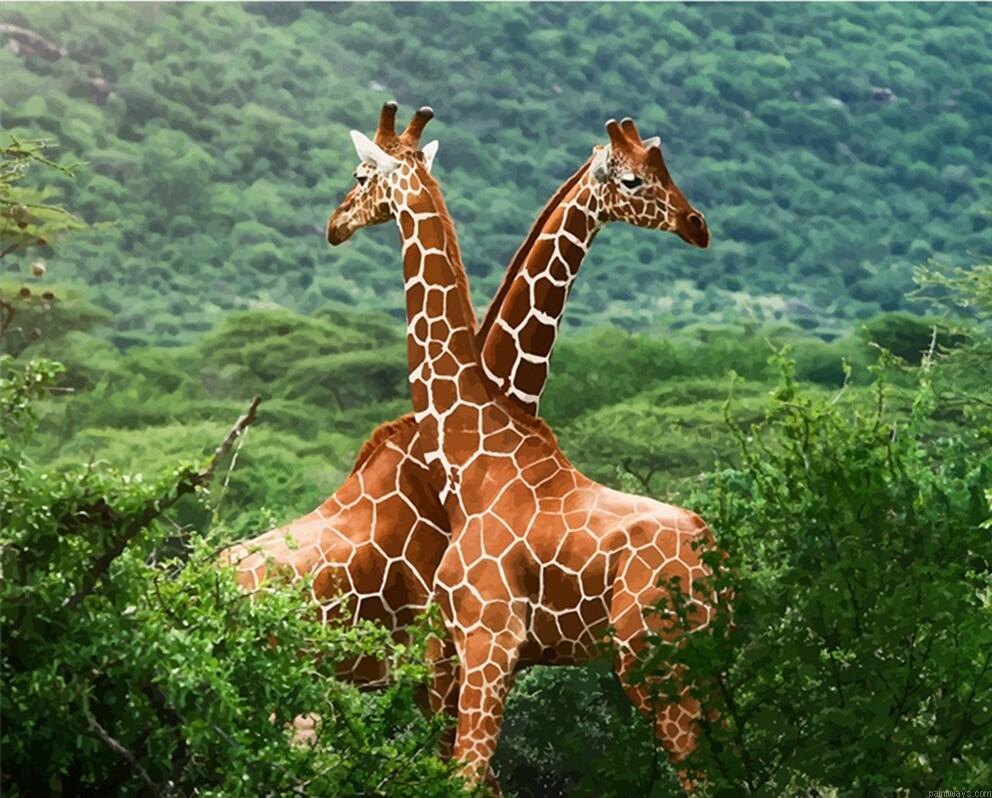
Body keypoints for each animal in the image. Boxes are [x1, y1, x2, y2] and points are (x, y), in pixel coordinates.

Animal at [325, 104, 719, 792]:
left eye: (359, 174)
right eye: (636, 179)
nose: (335, 224)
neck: (474, 448)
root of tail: (713, 556)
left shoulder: (487, 641)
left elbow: (466, 777)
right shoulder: (462, 650)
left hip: (656, 659)